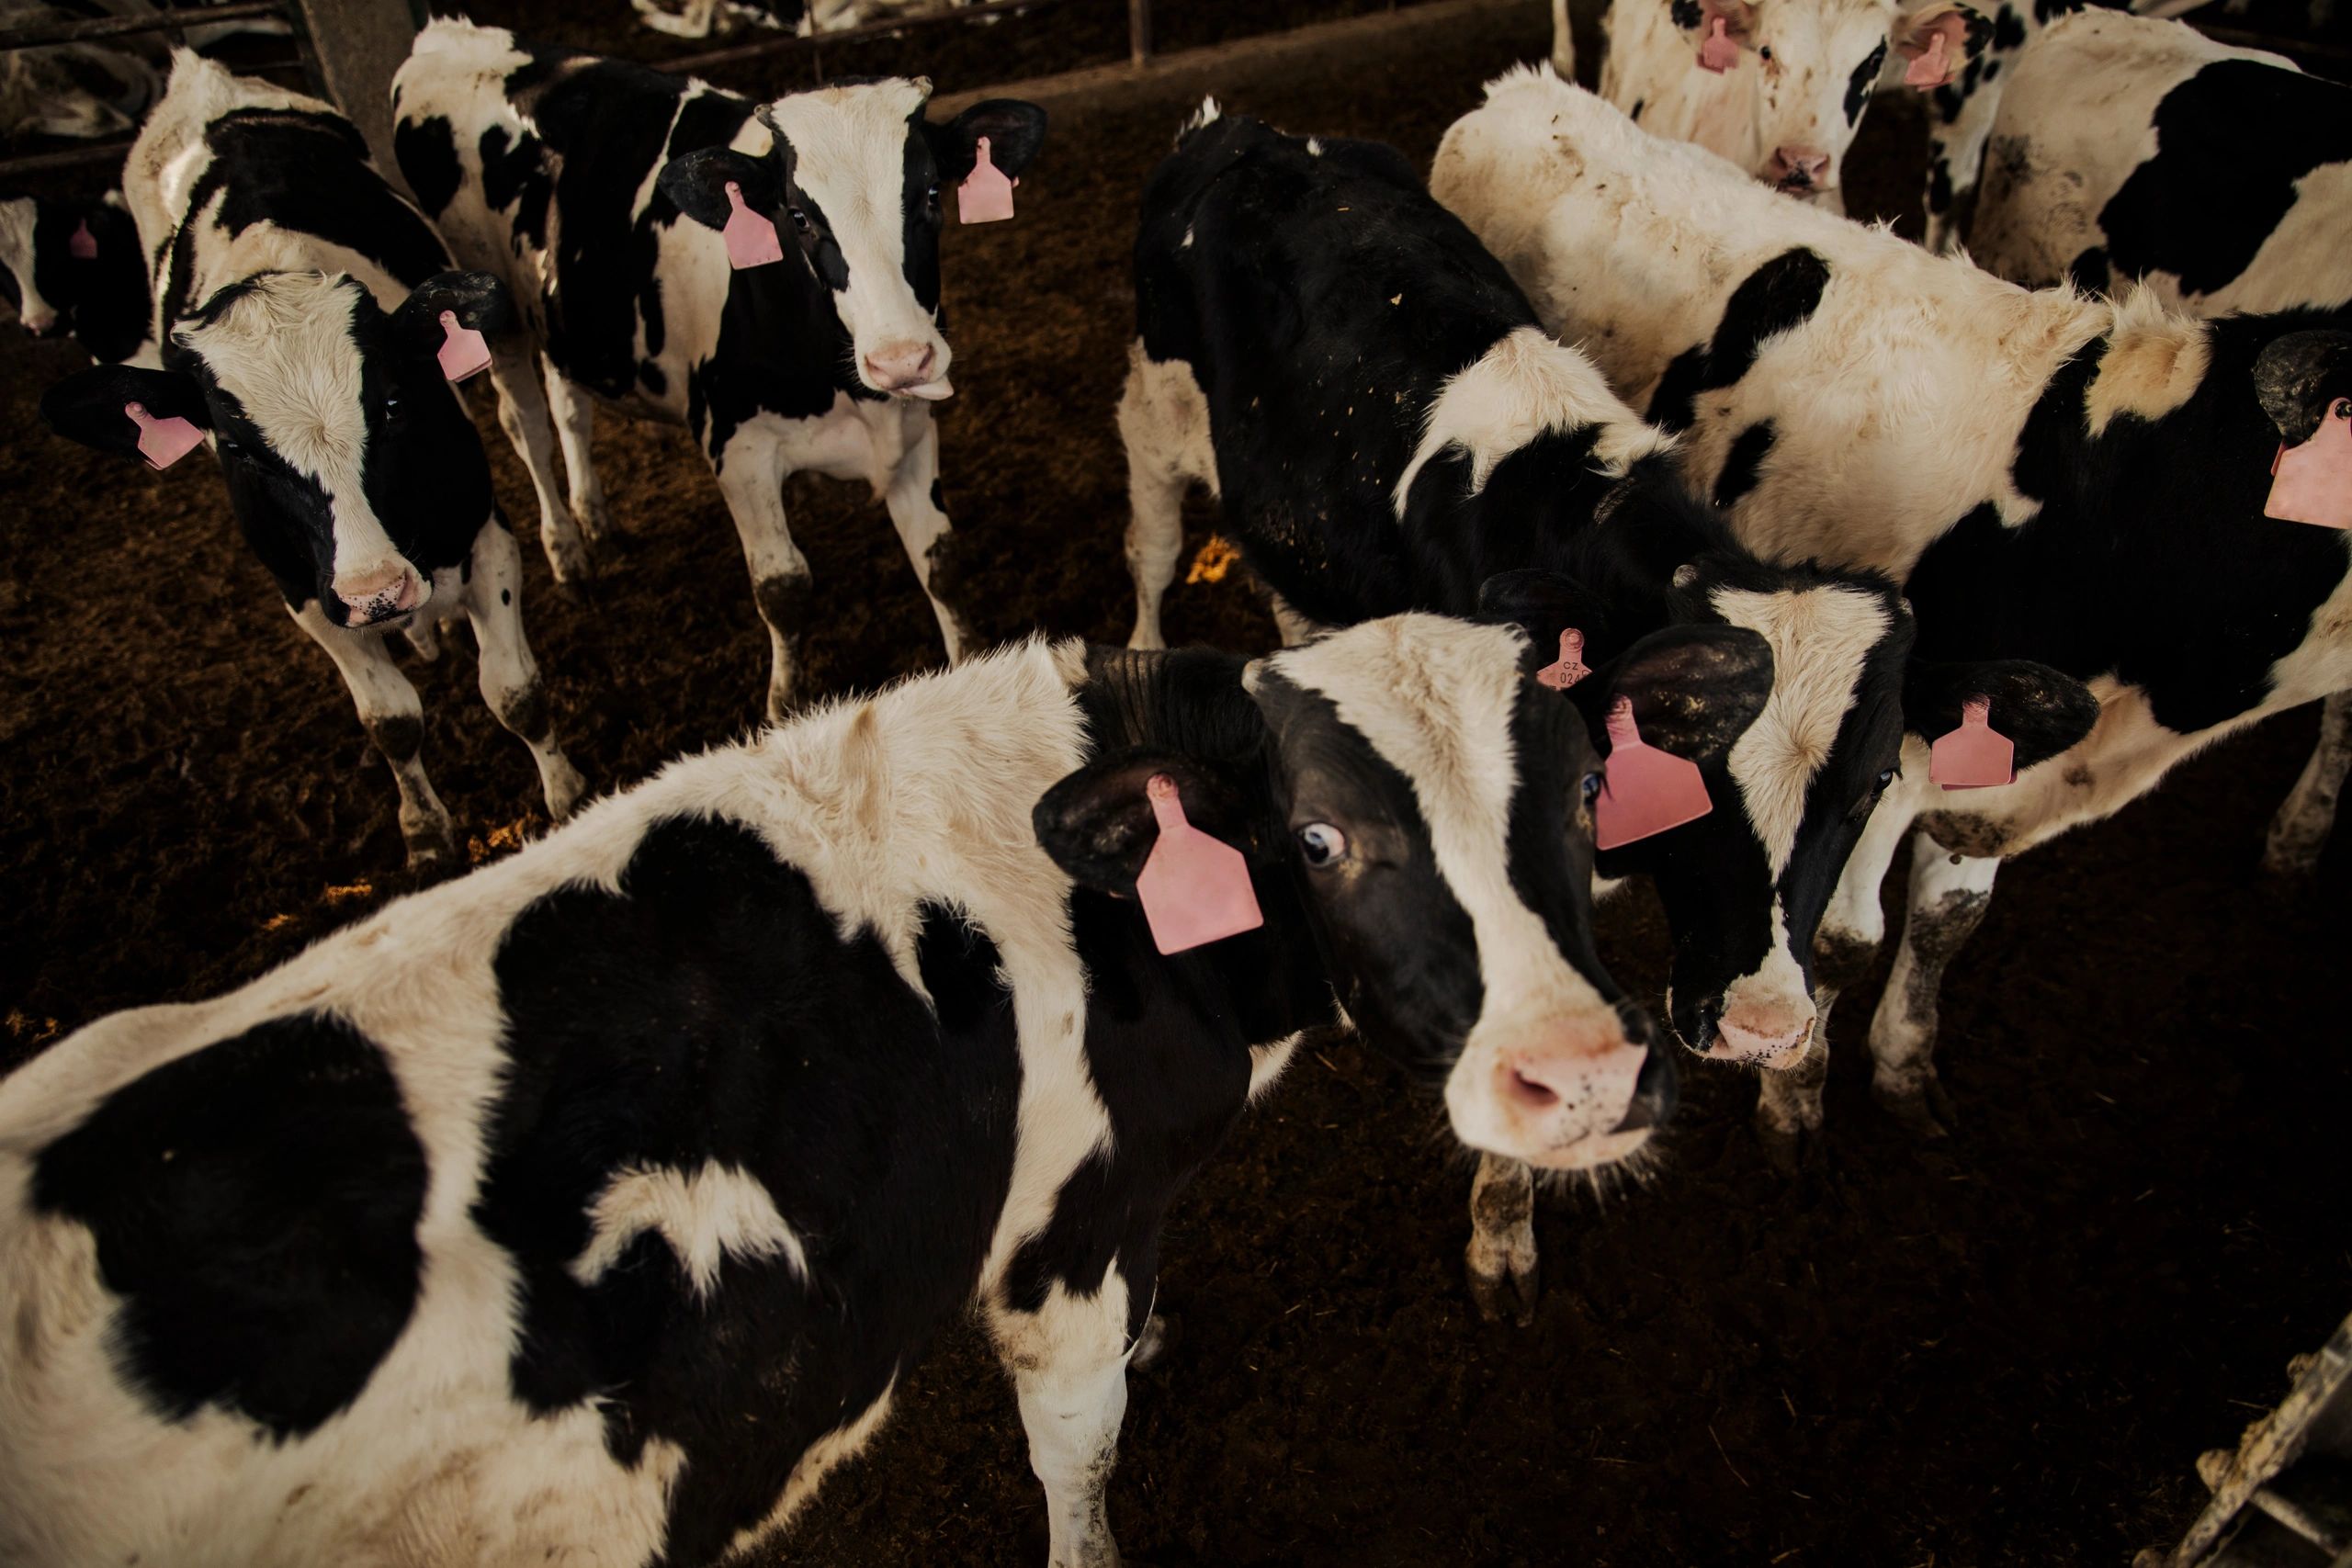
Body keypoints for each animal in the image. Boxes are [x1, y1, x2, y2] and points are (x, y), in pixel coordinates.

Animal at [38, 54, 584, 869]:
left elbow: (516, 691)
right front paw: (425, 832)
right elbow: (391, 721)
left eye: (392, 404)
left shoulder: (485, 536)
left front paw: (568, 795)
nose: (376, 589)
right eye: (238, 448)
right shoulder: (302, 595)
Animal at [391, 20, 1047, 719]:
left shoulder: (915, 426)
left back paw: (595, 520)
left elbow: (940, 560)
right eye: (798, 216)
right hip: (494, 316)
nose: (900, 358)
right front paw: (785, 701)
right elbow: (783, 587)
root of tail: (449, 35)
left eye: (929, 195)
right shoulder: (737, 445)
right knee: (527, 427)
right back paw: (567, 554)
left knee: (571, 406)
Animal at [1118, 103, 2094, 1314]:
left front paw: (1792, 1101)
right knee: (1152, 554)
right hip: (1152, 421)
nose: (1760, 1026)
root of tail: (1246, 131)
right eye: (1689, 768)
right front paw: (1502, 1244)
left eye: (1874, 782)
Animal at [1433, 66, 2352, 1160]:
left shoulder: (1976, 741)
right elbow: (1839, 938)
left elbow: (1946, 921)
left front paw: (1903, 1066)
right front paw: (1794, 1096)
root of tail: (1518, 94)